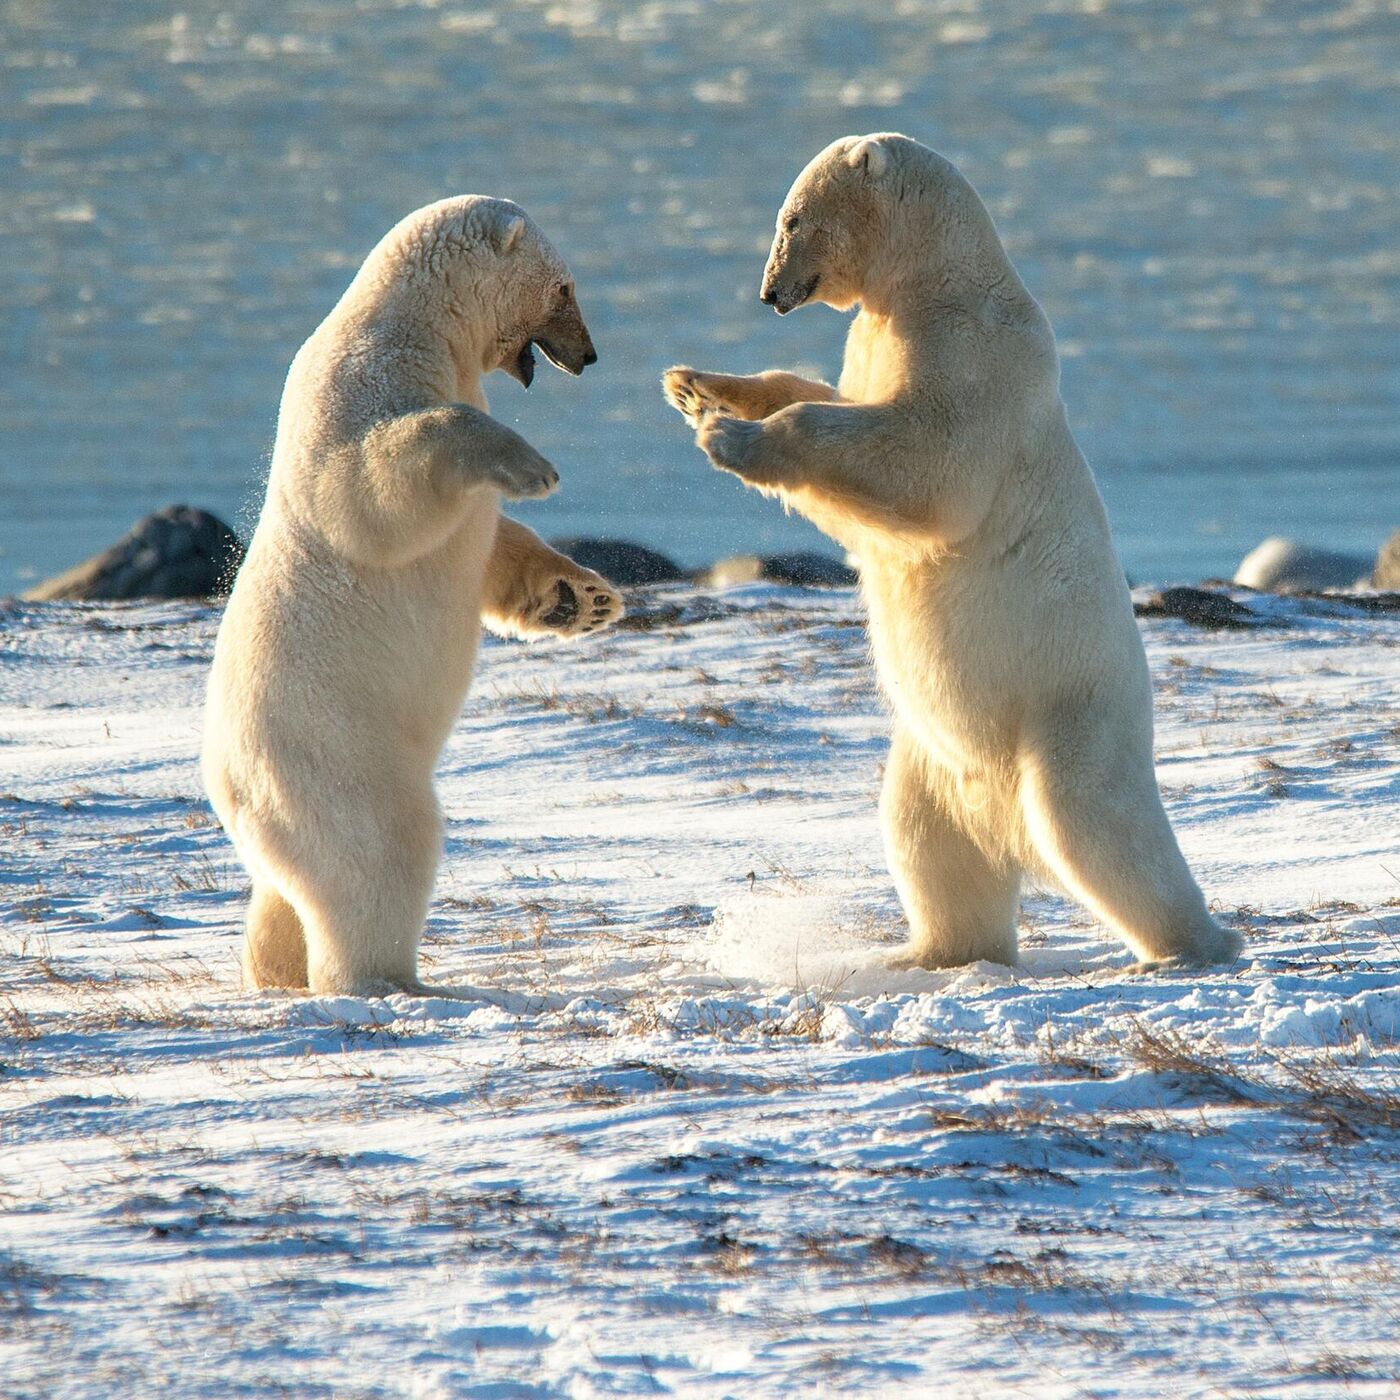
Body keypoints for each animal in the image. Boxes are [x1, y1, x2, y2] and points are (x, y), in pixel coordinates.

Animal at [204, 200, 621, 1008]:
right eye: (564, 288)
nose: (588, 356)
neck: (416, 323)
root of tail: (226, 784)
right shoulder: (358, 385)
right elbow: (373, 486)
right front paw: (535, 466)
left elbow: (489, 544)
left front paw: (581, 599)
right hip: (334, 755)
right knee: (380, 852)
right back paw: (396, 981)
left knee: (285, 890)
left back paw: (274, 969)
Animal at [663, 133, 1237, 974]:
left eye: (792, 218)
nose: (769, 293)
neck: (938, 276)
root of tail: (1006, 822)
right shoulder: (879, 337)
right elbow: (838, 413)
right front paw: (697, 386)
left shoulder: (971, 349)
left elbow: (927, 462)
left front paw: (730, 435)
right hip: (934, 757)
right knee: (924, 836)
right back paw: (925, 952)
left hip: (1069, 710)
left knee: (1094, 823)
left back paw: (1191, 944)